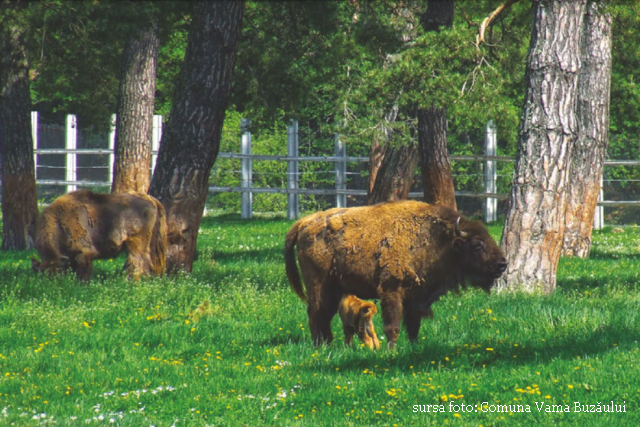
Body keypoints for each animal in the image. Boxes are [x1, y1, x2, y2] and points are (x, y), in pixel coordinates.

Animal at [32, 191, 168, 280]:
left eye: (58, 274)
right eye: (42, 275)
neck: (58, 220)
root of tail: (151, 199)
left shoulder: (84, 252)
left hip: (136, 242)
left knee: (137, 260)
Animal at [284, 201, 504, 348]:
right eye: (477, 245)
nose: (502, 264)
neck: (438, 241)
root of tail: (304, 222)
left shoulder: (416, 298)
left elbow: (414, 326)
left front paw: (414, 347)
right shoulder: (392, 291)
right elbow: (393, 325)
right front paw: (392, 350)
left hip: (334, 289)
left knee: (324, 315)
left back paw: (328, 344)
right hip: (319, 285)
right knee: (315, 313)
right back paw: (319, 346)